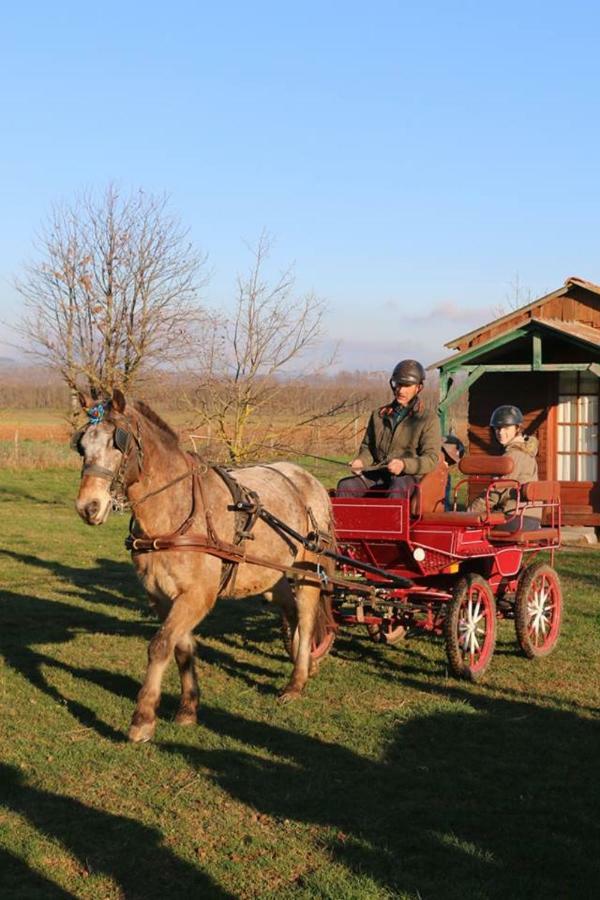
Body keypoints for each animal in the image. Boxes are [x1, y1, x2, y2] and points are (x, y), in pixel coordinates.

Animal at [73, 390, 336, 740]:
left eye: (119, 442)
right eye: (81, 445)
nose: (88, 507)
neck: (176, 510)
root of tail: (309, 480)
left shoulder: (197, 596)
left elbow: (160, 646)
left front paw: (143, 719)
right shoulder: (162, 597)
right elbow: (181, 648)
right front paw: (188, 708)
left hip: (308, 571)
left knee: (306, 620)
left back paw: (296, 682)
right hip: (272, 575)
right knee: (290, 613)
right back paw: (303, 663)